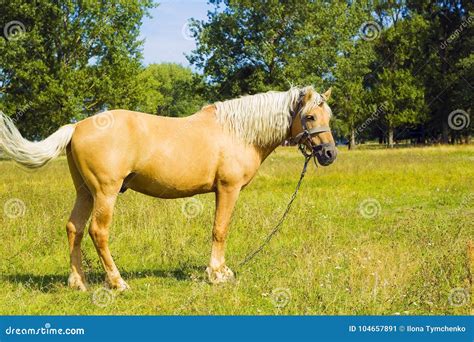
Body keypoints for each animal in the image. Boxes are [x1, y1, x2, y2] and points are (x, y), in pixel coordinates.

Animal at [0, 86, 336, 292]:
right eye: (309, 116)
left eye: (328, 116)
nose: (330, 154)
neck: (238, 132)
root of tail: (77, 125)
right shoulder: (228, 189)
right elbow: (220, 230)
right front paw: (217, 274)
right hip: (105, 192)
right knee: (98, 231)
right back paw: (118, 282)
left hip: (85, 192)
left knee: (74, 228)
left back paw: (78, 282)